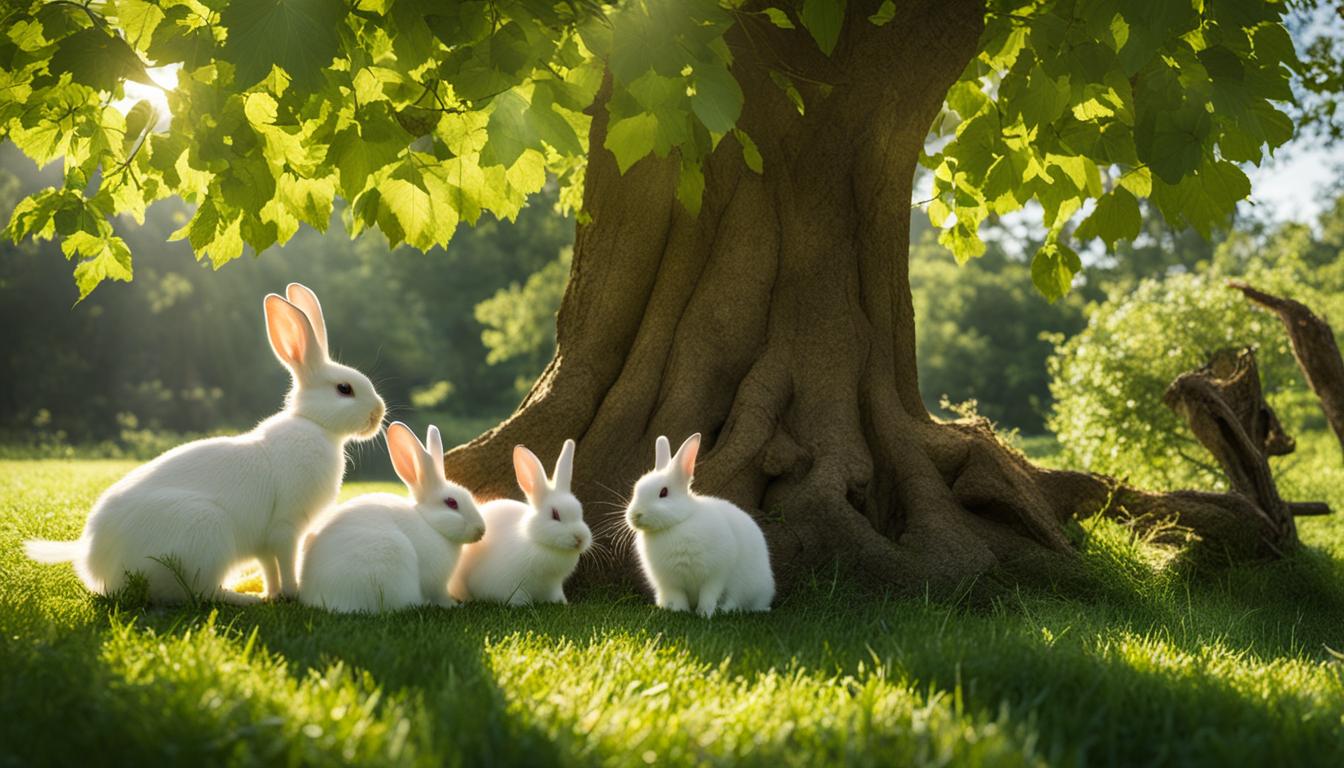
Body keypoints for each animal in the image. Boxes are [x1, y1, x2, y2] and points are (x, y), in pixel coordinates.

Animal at [24, 283, 385, 605]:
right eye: (344, 389)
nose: (379, 413)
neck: (315, 424)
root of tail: (94, 564)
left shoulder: (265, 541)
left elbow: (269, 567)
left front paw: (274, 594)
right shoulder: (286, 528)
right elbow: (286, 562)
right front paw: (292, 594)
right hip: (206, 533)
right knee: (199, 593)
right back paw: (244, 599)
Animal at [298, 422, 485, 613]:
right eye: (451, 503)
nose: (481, 530)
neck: (430, 524)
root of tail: (315, 595)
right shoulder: (436, 585)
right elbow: (440, 596)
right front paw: (453, 605)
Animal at [449, 439, 592, 605]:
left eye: (580, 512)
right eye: (555, 515)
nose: (580, 539)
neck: (536, 542)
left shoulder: (552, 588)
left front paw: (562, 602)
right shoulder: (509, 585)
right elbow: (515, 597)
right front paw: (522, 604)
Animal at [625, 434, 774, 617]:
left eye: (663, 493)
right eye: (636, 489)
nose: (635, 515)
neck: (677, 524)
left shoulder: (716, 573)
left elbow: (708, 594)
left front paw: (705, 613)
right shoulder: (670, 583)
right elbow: (678, 597)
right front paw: (678, 610)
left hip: (746, 585)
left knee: (737, 601)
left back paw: (726, 609)